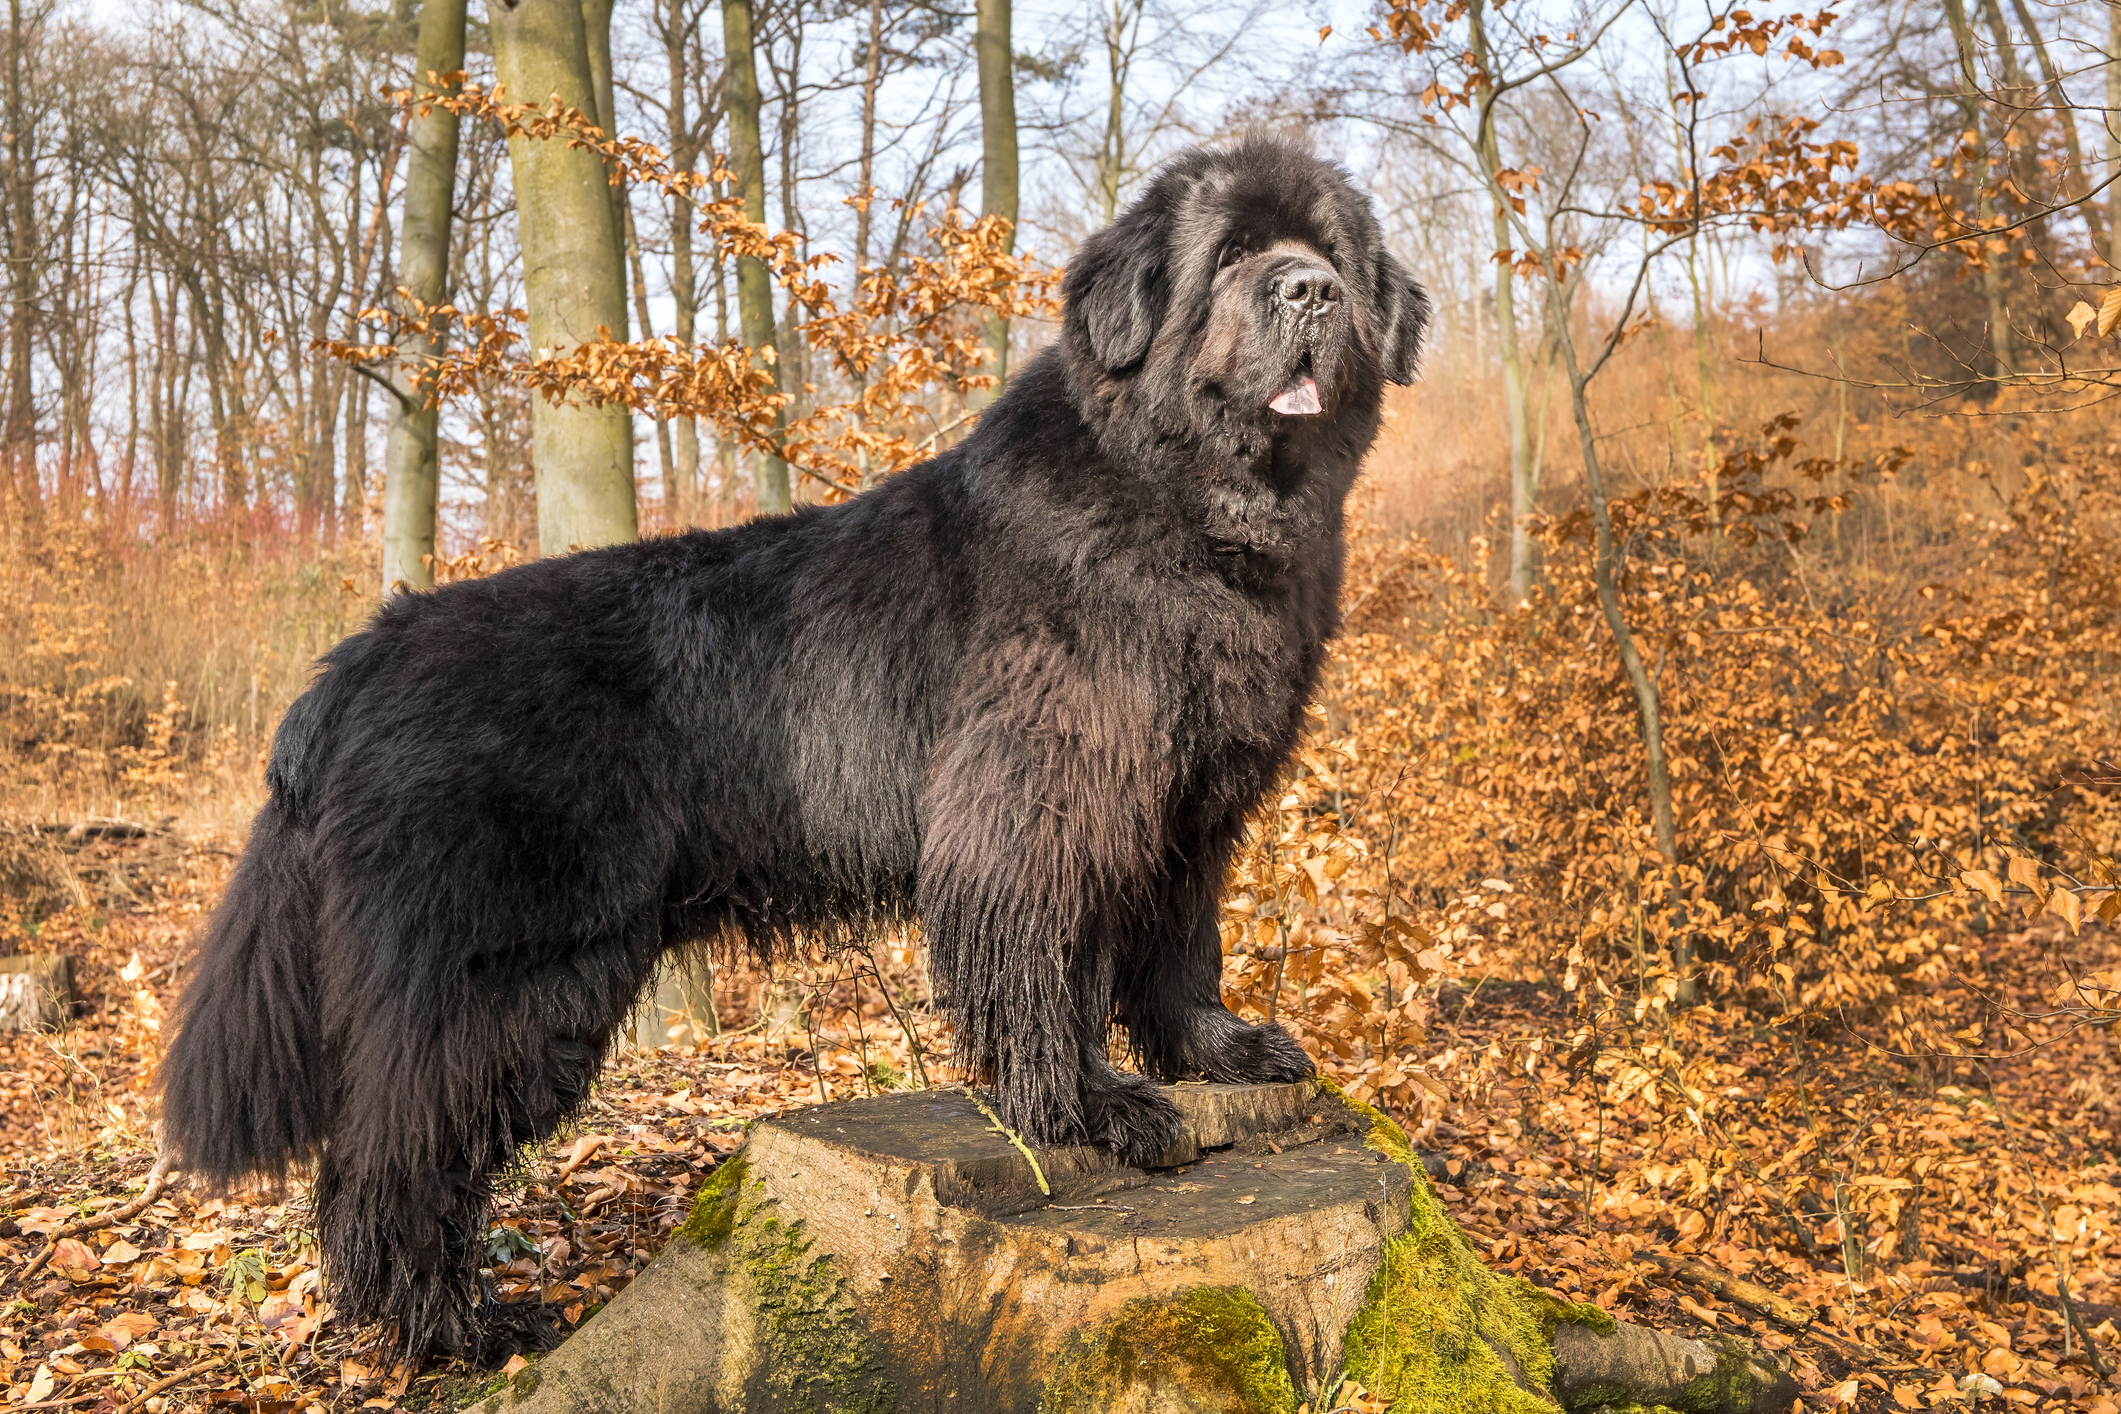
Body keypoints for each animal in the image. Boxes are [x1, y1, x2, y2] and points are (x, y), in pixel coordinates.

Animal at [161, 132, 1425, 1356]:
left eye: (1327, 252)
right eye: (1232, 254)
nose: (1310, 291)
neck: (1192, 515)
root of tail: (357, 657)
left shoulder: (1190, 807)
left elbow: (1180, 946)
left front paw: (1215, 1050)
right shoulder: (1038, 800)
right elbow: (1051, 967)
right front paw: (1092, 1108)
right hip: (506, 977)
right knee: (402, 1153)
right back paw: (451, 1329)